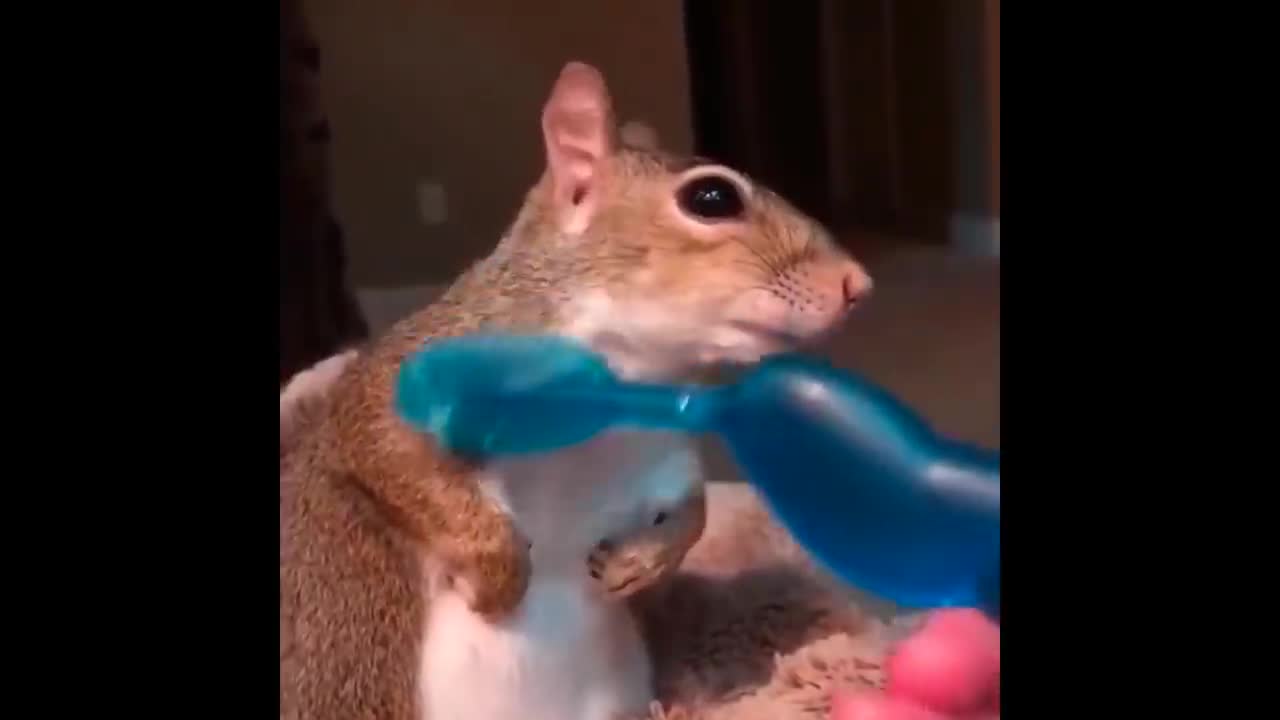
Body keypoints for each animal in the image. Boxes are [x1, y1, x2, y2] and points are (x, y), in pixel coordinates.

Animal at [279, 61, 872, 720]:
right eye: (711, 198)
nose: (857, 284)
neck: (626, 378)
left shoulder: (660, 455)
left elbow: (693, 510)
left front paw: (639, 564)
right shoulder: (408, 383)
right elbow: (388, 449)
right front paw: (498, 578)